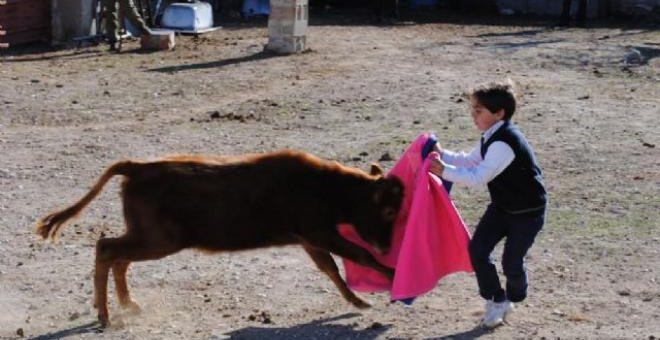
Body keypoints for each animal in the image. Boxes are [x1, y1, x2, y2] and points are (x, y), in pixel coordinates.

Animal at [38, 149, 404, 326]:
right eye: (388, 211)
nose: (388, 245)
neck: (330, 187)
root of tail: (137, 167)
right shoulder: (319, 232)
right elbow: (358, 255)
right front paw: (391, 275)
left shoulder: (310, 240)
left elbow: (330, 270)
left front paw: (358, 301)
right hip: (159, 240)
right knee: (106, 249)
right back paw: (104, 314)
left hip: (148, 237)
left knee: (119, 258)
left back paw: (128, 305)